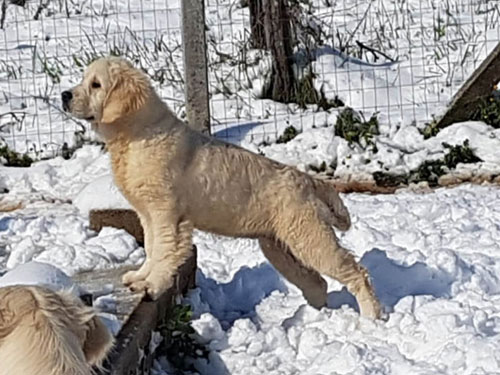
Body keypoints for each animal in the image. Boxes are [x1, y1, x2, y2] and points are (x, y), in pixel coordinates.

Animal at [62, 56, 382, 320]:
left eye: (96, 84)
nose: (64, 95)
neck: (136, 135)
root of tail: (308, 180)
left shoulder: (167, 214)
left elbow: (164, 251)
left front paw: (152, 285)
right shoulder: (148, 215)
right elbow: (151, 248)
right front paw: (140, 277)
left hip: (309, 236)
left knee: (356, 272)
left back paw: (370, 318)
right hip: (280, 248)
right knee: (317, 283)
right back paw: (313, 317)